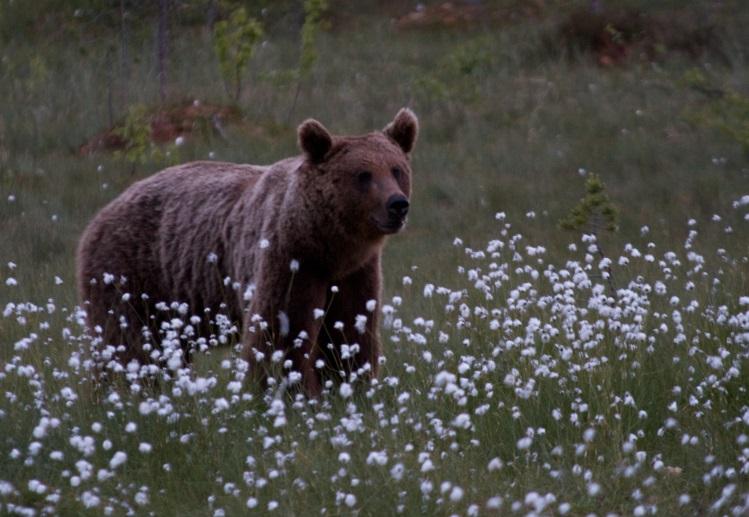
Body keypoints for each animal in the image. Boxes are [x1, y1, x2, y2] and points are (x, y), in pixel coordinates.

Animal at [77, 107, 414, 394]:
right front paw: (292, 392)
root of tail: (101, 213)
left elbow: (350, 329)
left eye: (396, 169)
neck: (327, 244)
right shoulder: (289, 258)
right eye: (363, 175)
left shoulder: (355, 272)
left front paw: (351, 385)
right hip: (129, 273)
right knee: (127, 343)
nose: (397, 204)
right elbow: (282, 331)